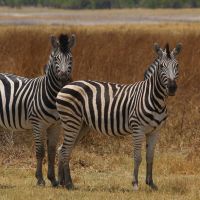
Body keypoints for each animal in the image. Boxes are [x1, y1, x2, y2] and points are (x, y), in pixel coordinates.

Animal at [0, 34, 76, 186]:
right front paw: (40, 179)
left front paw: (53, 179)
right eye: (56, 58)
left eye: (70, 58)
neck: (52, 95)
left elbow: (52, 151)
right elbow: (40, 151)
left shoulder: (55, 125)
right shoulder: (38, 124)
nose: (64, 77)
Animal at [55, 42, 182, 191]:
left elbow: (150, 157)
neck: (154, 98)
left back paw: (62, 182)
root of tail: (66, 85)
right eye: (162, 66)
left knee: (64, 149)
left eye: (177, 65)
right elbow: (137, 157)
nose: (172, 87)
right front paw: (135, 184)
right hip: (71, 121)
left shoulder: (155, 131)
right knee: (64, 150)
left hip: (81, 125)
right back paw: (68, 184)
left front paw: (151, 183)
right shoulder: (138, 129)